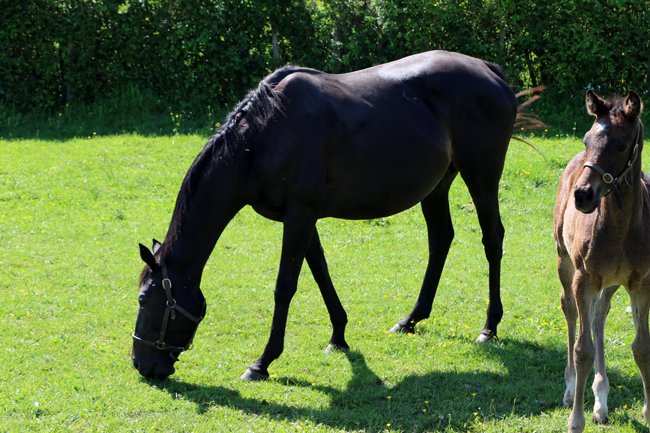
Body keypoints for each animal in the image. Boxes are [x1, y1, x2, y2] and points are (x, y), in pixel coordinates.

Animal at [131, 50, 517, 381]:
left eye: (144, 299)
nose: (142, 364)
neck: (263, 137)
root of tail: (489, 70)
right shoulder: (302, 217)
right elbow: (320, 271)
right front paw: (339, 335)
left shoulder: (299, 215)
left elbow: (285, 286)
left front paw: (263, 362)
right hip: (437, 187)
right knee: (440, 239)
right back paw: (411, 319)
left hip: (481, 177)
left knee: (492, 239)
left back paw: (489, 326)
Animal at [554, 90, 646, 432]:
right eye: (586, 139)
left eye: (621, 144)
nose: (583, 195)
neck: (619, 228)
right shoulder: (585, 278)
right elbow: (583, 350)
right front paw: (575, 421)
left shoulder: (640, 283)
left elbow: (641, 347)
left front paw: (648, 411)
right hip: (565, 262)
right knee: (570, 309)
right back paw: (570, 389)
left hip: (611, 283)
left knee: (598, 316)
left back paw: (601, 400)